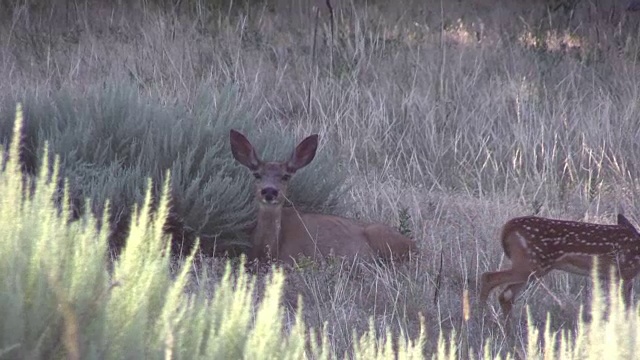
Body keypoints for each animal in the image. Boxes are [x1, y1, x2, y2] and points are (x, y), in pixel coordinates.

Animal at [478, 212, 640, 320]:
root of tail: (508, 228)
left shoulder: (621, 277)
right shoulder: (625, 271)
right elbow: (625, 306)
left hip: (532, 268)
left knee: (506, 295)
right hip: (531, 265)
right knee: (488, 277)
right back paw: (481, 319)